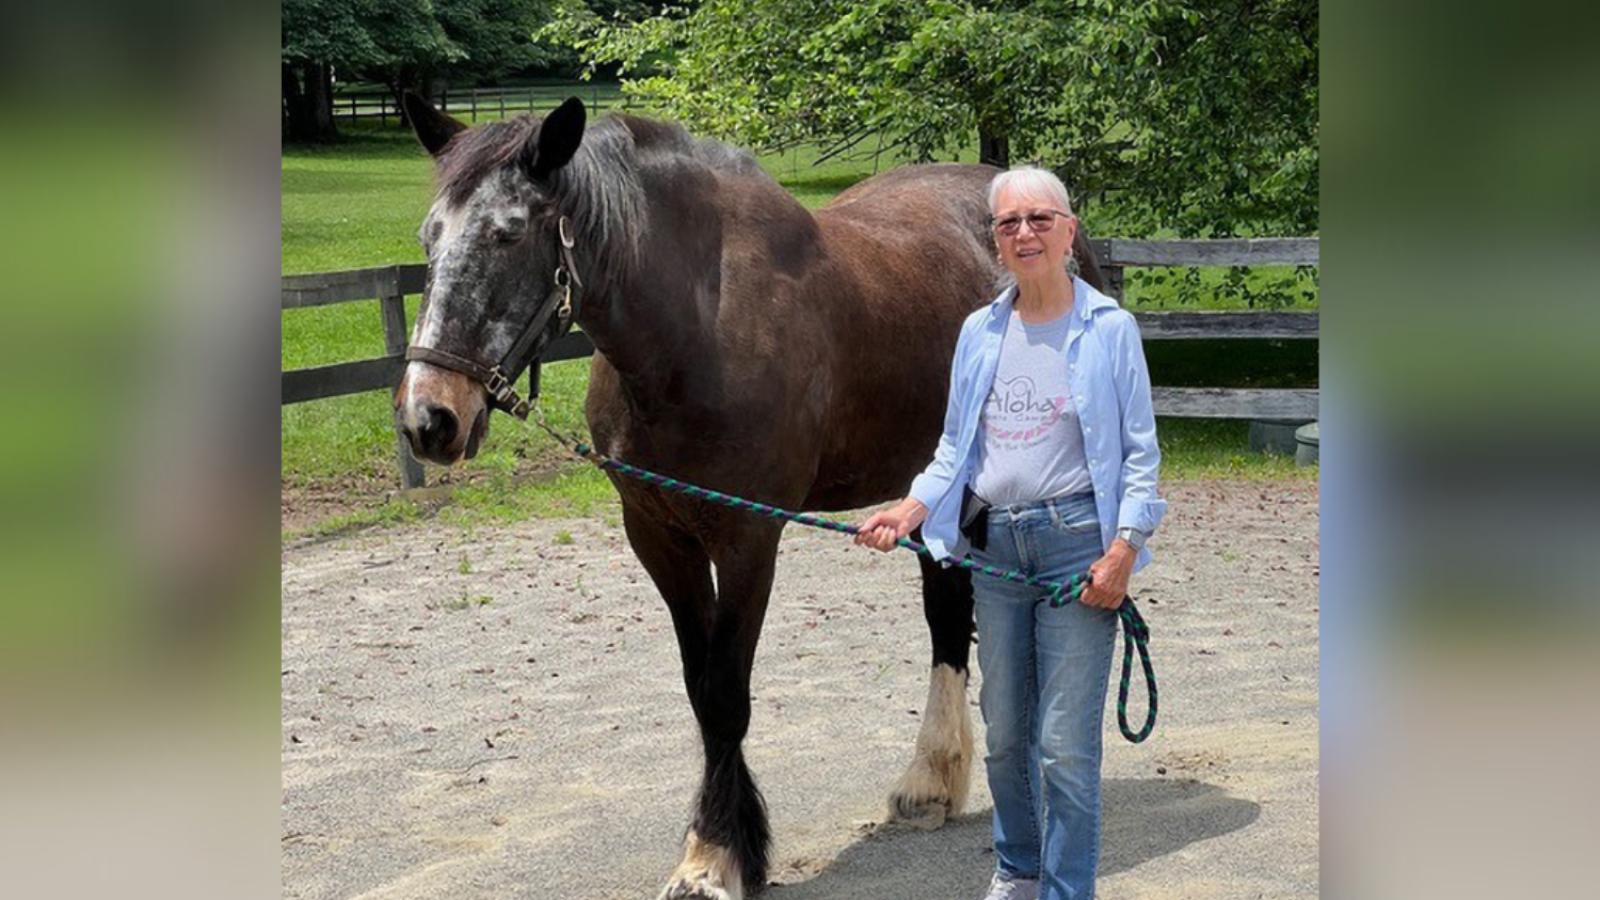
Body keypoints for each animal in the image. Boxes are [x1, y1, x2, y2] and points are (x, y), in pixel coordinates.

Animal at [394, 95, 1105, 899]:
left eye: (509, 232)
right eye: (429, 237)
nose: (429, 418)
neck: (696, 330)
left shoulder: (747, 539)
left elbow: (728, 692)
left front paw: (714, 857)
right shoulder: (657, 536)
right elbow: (701, 693)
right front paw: (720, 846)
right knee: (947, 614)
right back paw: (932, 781)